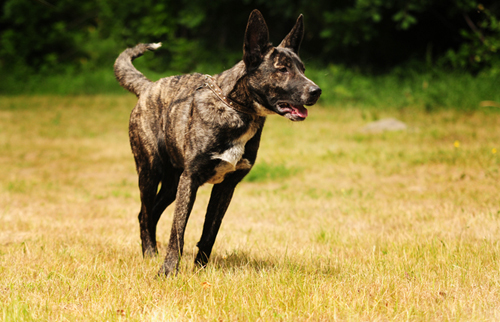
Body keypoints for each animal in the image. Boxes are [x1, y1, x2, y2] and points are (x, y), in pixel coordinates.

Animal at [114, 9, 320, 276]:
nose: (316, 91)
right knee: (146, 213)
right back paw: (149, 253)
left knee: (151, 213)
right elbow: (178, 230)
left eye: (302, 68)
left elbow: (210, 230)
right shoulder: (190, 179)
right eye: (282, 69)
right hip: (150, 172)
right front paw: (168, 271)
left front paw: (200, 268)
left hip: (171, 184)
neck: (236, 109)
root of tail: (148, 87)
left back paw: (153, 252)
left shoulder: (225, 186)